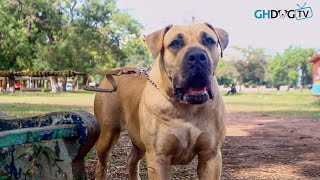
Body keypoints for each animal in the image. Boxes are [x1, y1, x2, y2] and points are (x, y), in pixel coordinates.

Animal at [94, 22, 229, 180]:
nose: (197, 56)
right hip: (108, 134)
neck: (186, 107)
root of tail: (116, 71)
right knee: (102, 164)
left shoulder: (210, 156)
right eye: (175, 43)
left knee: (132, 159)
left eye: (209, 40)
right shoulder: (158, 158)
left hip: (138, 140)